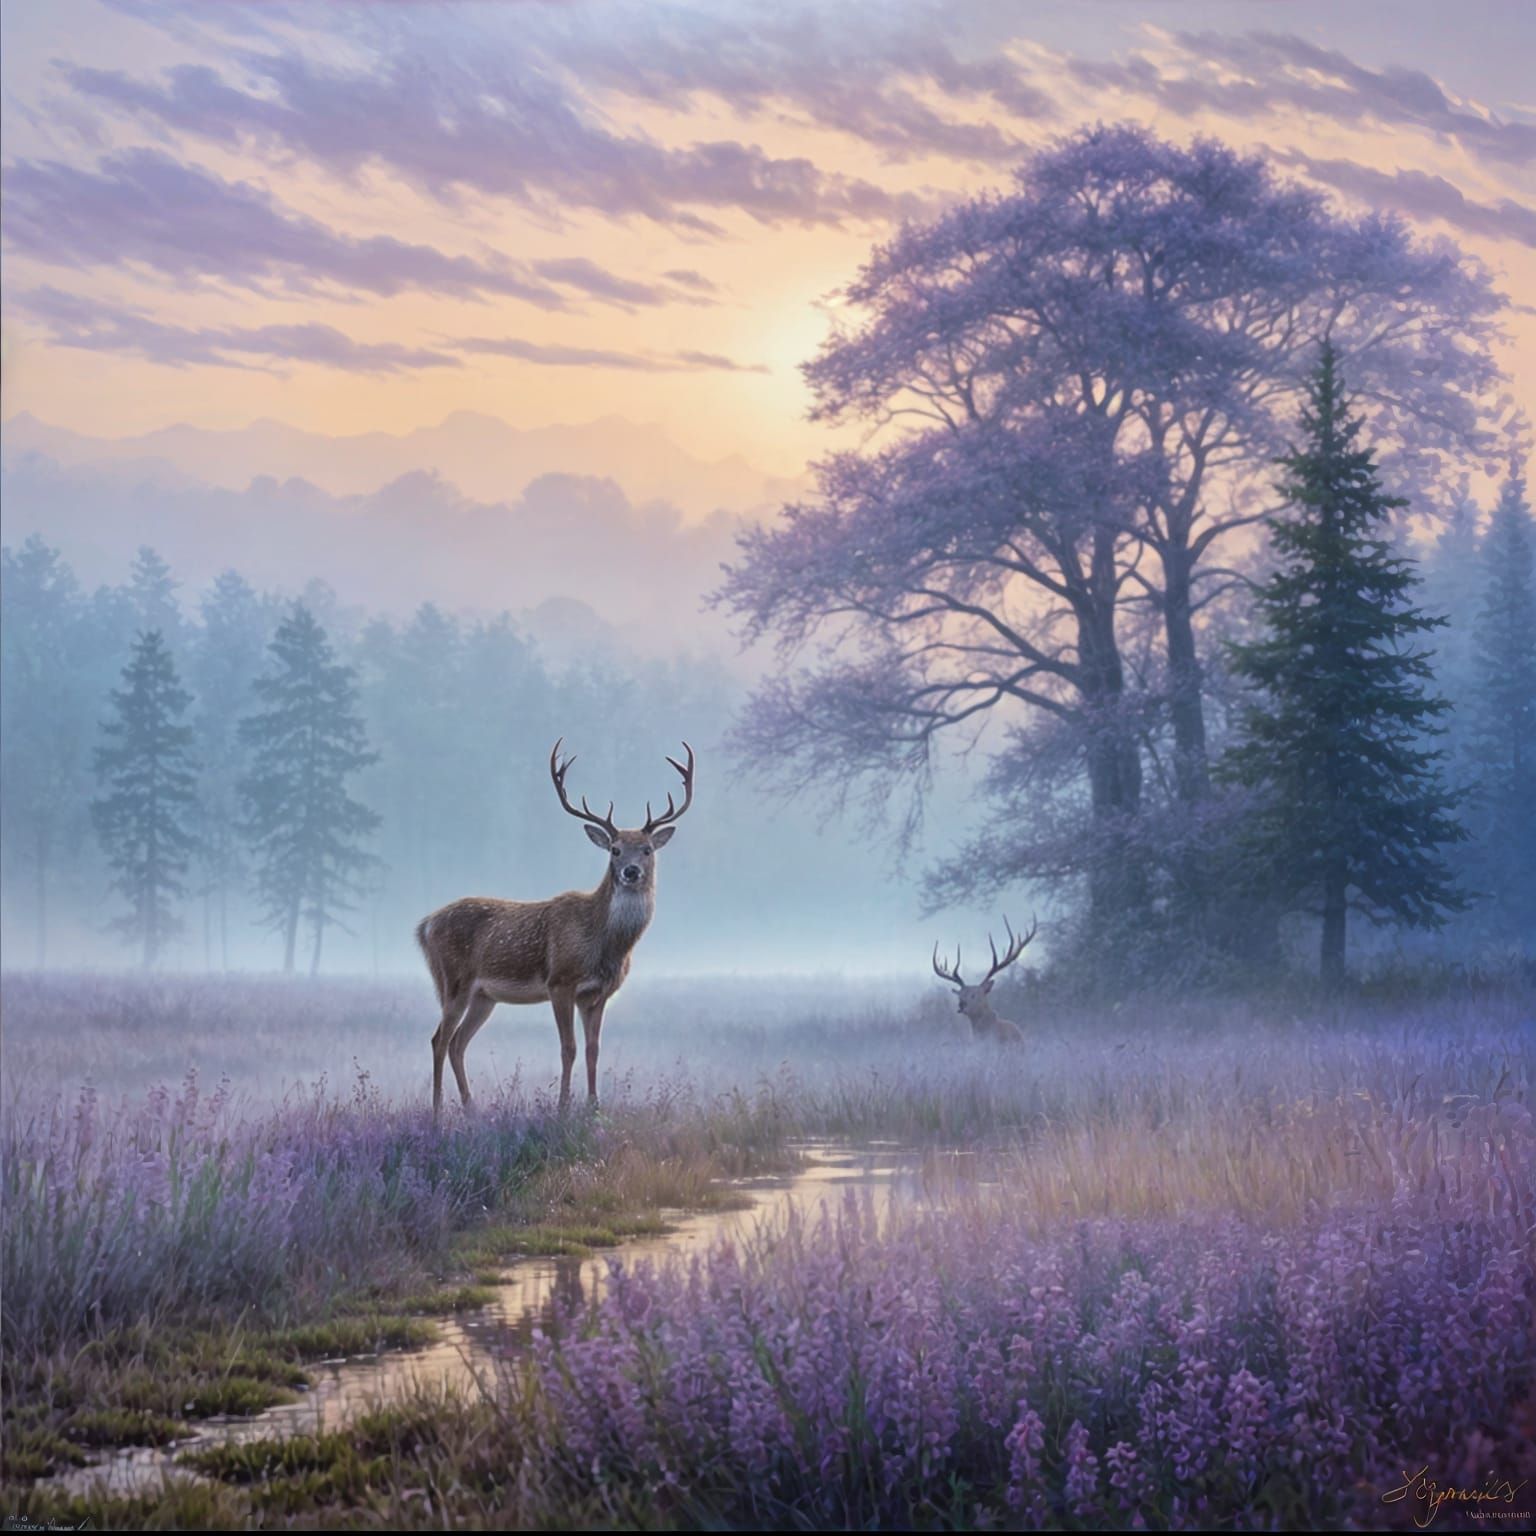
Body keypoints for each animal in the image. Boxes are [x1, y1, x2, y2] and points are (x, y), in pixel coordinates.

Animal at [417, 739, 694, 1118]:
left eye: (648, 849)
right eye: (615, 849)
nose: (631, 871)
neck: (605, 945)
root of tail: (425, 925)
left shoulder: (599, 993)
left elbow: (593, 1049)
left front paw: (594, 1107)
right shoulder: (560, 981)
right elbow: (569, 1048)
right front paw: (563, 1108)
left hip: (484, 996)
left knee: (458, 1042)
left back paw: (471, 1108)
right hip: (452, 979)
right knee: (439, 1039)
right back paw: (437, 1110)